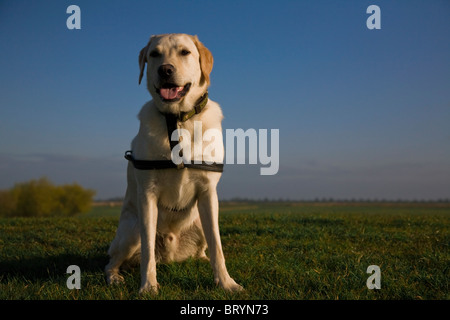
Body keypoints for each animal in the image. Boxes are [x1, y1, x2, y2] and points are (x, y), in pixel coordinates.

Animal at [105, 33, 243, 294]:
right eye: (154, 54)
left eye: (184, 52)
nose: (165, 70)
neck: (178, 120)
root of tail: (169, 256)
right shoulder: (147, 195)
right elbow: (147, 251)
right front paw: (148, 286)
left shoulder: (208, 193)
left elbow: (218, 246)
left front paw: (226, 282)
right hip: (131, 230)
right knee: (111, 262)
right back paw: (115, 277)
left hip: (200, 221)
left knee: (206, 246)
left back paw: (202, 260)